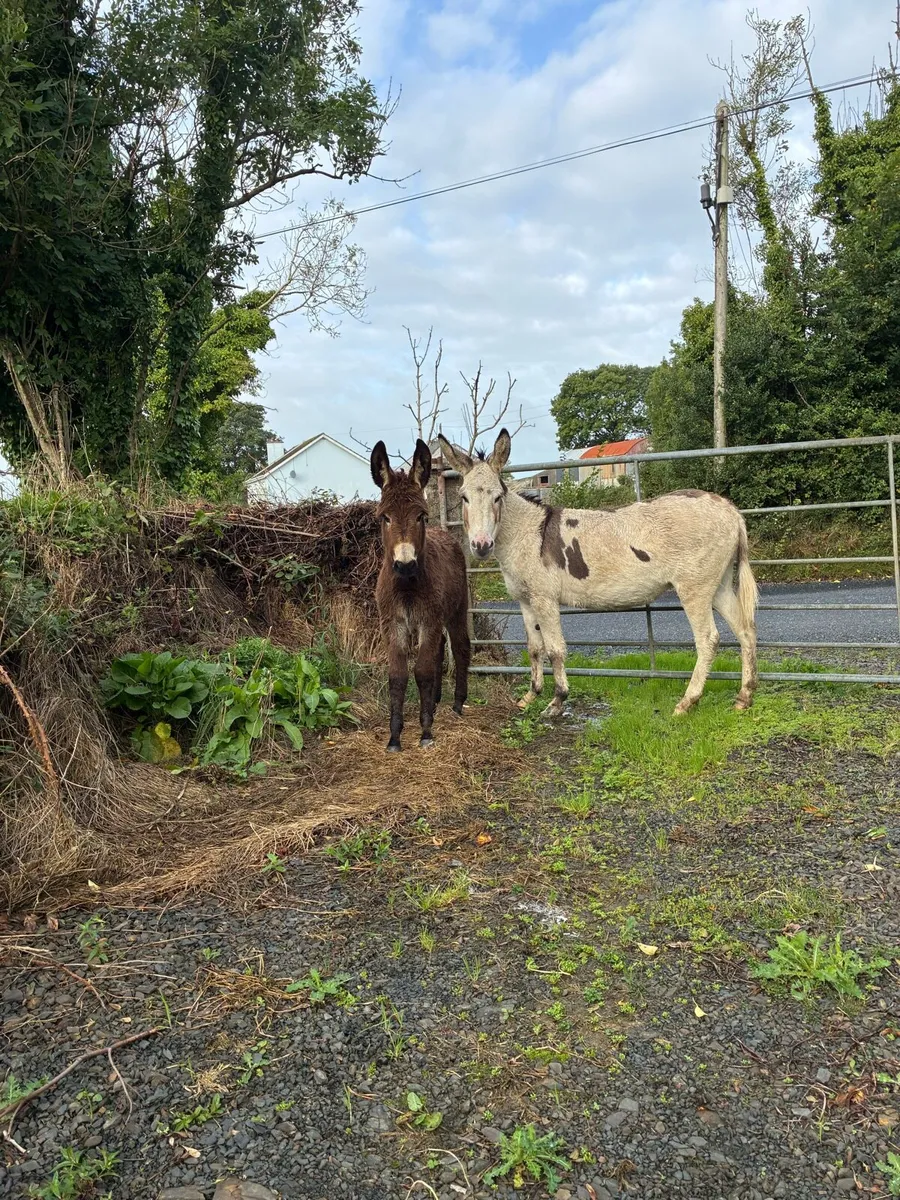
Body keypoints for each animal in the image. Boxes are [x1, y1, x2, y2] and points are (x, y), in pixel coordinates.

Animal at [370, 438, 471, 751]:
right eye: (385, 517)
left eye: (421, 516)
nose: (405, 564)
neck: (407, 586)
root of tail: (446, 533)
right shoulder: (393, 624)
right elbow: (397, 675)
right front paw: (394, 736)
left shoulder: (428, 620)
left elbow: (423, 671)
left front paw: (426, 732)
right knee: (440, 650)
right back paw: (436, 703)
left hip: (457, 610)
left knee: (460, 648)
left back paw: (457, 704)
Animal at [437, 429, 758, 719]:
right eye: (464, 498)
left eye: (498, 497)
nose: (480, 546)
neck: (525, 533)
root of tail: (729, 509)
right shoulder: (526, 601)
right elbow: (534, 648)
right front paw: (530, 696)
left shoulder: (545, 599)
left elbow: (555, 649)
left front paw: (557, 701)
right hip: (717, 586)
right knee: (745, 629)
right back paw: (744, 697)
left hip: (694, 587)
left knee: (708, 639)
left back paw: (687, 702)